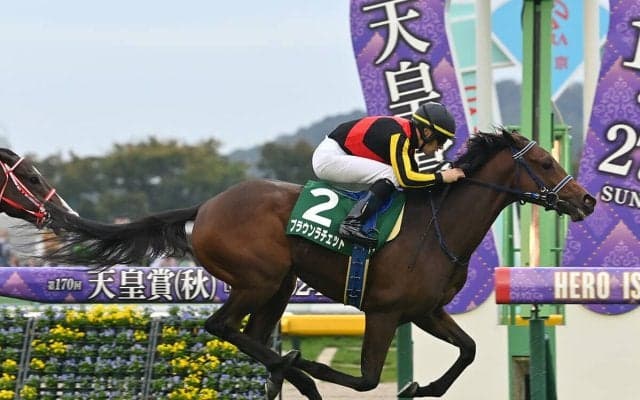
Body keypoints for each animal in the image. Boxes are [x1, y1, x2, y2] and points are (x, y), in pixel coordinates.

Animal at [42, 129, 595, 399]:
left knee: (253, 336)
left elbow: (470, 350)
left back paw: (291, 373)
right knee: (222, 327)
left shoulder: (426, 312)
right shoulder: (385, 313)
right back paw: (298, 369)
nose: (587, 200)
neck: (436, 227)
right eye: (544, 162)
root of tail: (206, 206)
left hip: (280, 285)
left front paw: (426, 386)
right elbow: (368, 380)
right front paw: (318, 368)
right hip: (257, 279)